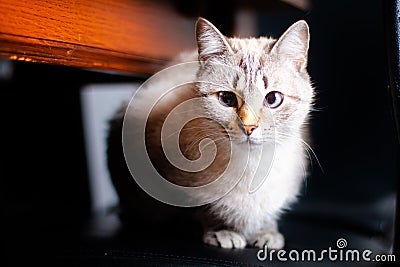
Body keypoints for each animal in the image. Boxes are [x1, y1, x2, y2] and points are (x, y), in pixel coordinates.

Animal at [108, 17, 314, 250]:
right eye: (227, 99)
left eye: (272, 99)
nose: (249, 127)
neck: (250, 166)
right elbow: (200, 210)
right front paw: (222, 232)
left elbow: (267, 214)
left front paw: (267, 233)